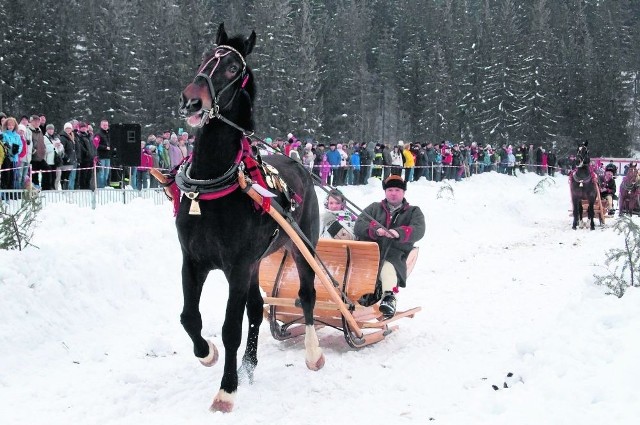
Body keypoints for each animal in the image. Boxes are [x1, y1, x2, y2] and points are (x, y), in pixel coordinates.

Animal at [175, 22, 322, 410]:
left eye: (231, 68)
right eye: (204, 56)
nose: (191, 101)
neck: (214, 182)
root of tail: (300, 165)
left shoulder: (238, 266)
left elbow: (231, 328)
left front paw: (226, 389)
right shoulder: (193, 260)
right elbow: (189, 317)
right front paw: (207, 353)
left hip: (302, 246)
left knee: (307, 295)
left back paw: (313, 352)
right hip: (257, 263)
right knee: (256, 309)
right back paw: (249, 366)